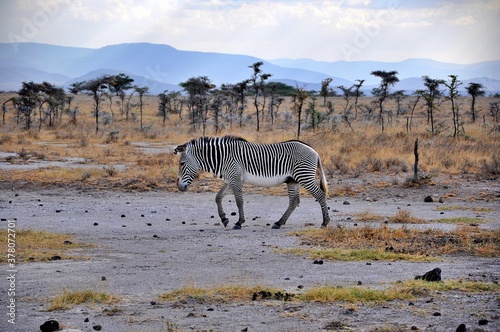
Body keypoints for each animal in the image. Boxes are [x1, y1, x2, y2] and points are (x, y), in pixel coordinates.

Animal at [174, 136, 330, 230]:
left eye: (182, 164)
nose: (180, 188)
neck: (223, 158)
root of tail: (314, 151)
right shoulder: (231, 179)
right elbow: (218, 197)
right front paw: (224, 219)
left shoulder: (235, 179)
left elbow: (239, 201)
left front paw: (239, 223)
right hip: (293, 180)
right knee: (294, 201)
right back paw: (278, 223)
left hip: (304, 176)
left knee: (320, 195)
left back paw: (325, 222)